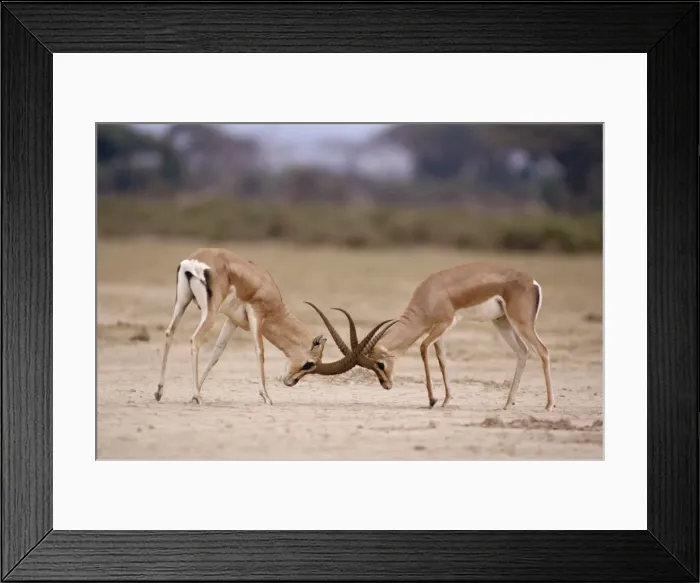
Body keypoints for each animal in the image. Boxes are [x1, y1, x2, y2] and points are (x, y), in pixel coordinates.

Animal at [155, 247, 394, 405]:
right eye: (309, 364)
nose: (290, 382)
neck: (266, 284)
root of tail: (195, 261)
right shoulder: (257, 316)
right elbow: (259, 351)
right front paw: (267, 397)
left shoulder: (233, 320)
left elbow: (217, 353)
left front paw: (199, 387)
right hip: (209, 312)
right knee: (195, 339)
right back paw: (194, 397)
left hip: (182, 302)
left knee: (169, 333)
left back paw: (159, 392)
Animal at [307, 262, 554, 411]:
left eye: (380, 364)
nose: (386, 385)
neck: (431, 293)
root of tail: (532, 282)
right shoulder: (439, 330)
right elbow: (441, 359)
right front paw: (445, 400)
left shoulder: (443, 324)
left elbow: (423, 348)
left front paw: (433, 400)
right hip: (502, 322)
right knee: (523, 352)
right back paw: (508, 403)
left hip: (521, 323)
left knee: (542, 350)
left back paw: (549, 405)